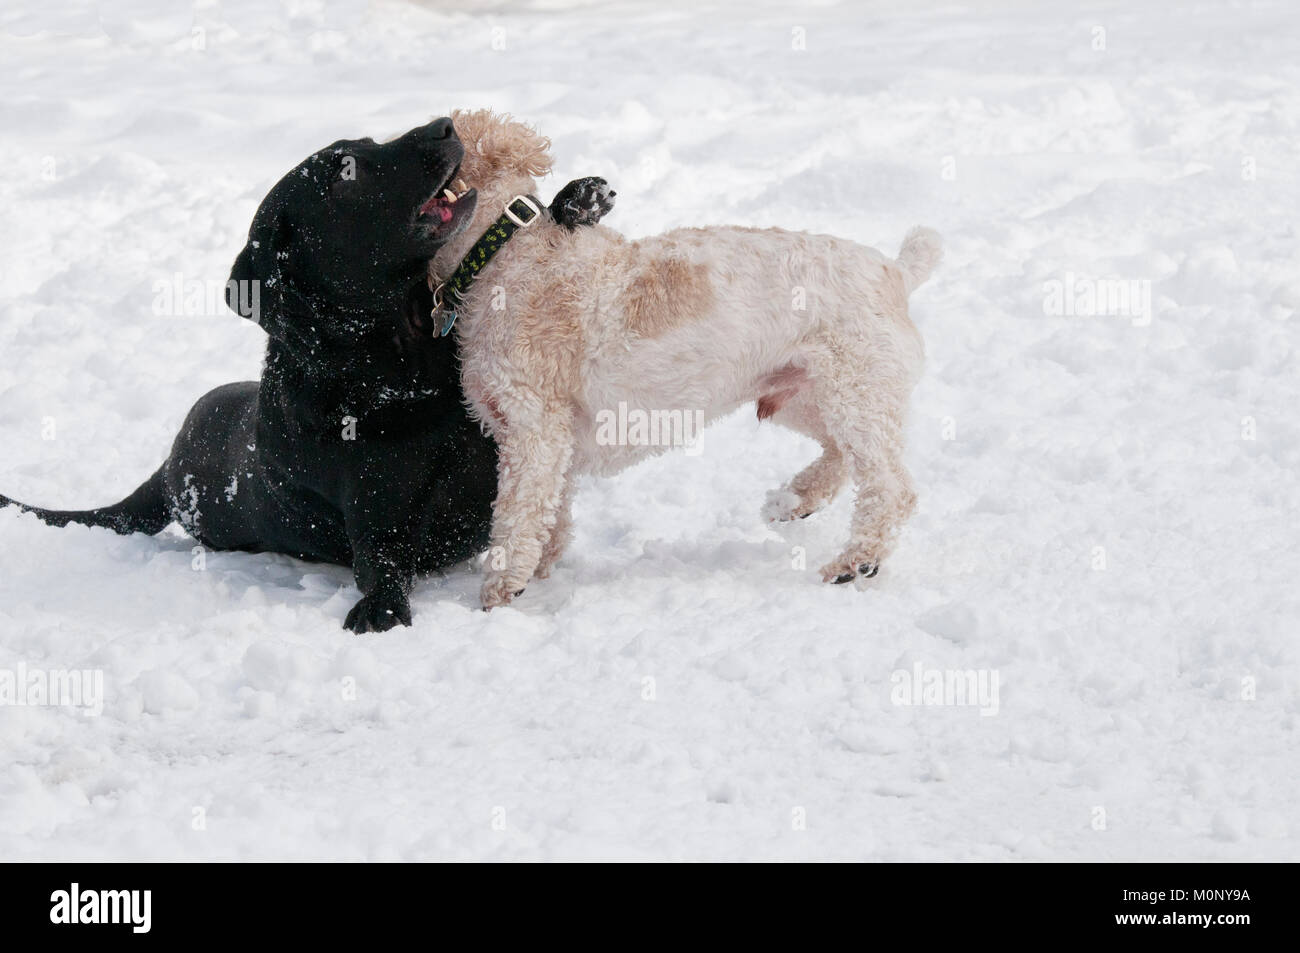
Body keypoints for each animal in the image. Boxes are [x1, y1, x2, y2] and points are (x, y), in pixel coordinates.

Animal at [431, 107, 941, 605]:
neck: (503, 252)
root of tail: (896, 271)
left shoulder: (532, 428)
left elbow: (517, 513)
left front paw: (500, 590)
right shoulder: (551, 439)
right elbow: (551, 512)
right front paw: (539, 569)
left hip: (855, 392)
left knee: (891, 489)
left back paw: (855, 561)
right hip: (802, 394)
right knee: (840, 456)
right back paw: (794, 500)